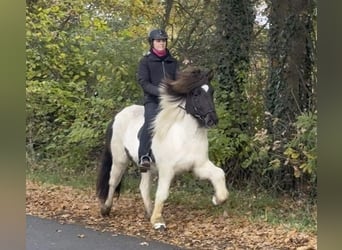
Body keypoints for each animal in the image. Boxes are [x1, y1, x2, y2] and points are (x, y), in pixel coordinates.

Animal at [96, 67, 228, 230]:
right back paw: (106, 209)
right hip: (120, 159)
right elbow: (162, 193)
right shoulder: (167, 169)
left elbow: (219, 173)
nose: (212, 120)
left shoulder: (199, 166)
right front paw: (158, 221)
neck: (185, 136)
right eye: (196, 94)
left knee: (143, 187)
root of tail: (118, 115)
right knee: (113, 181)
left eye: (212, 92)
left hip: (146, 167)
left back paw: (149, 212)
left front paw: (217, 199)